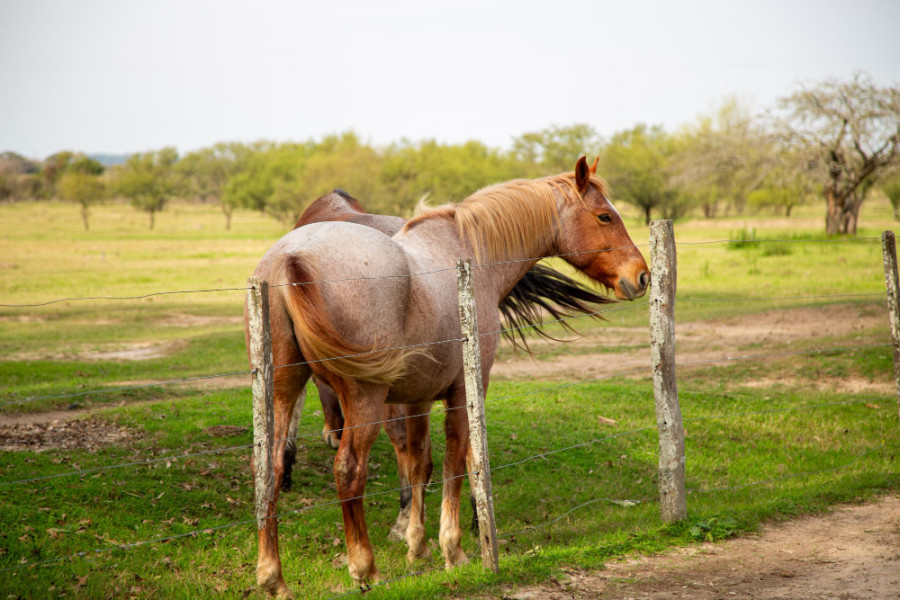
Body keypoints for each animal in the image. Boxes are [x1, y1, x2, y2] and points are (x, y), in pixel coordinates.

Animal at [248, 157, 648, 596]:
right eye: (605, 216)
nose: (641, 276)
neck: (471, 253)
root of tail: (290, 257)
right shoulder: (464, 391)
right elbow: (456, 460)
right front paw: (452, 549)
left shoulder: (417, 397)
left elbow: (419, 463)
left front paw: (416, 546)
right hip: (363, 399)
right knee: (349, 471)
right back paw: (365, 570)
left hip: (282, 391)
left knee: (269, 468)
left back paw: (273, 579)